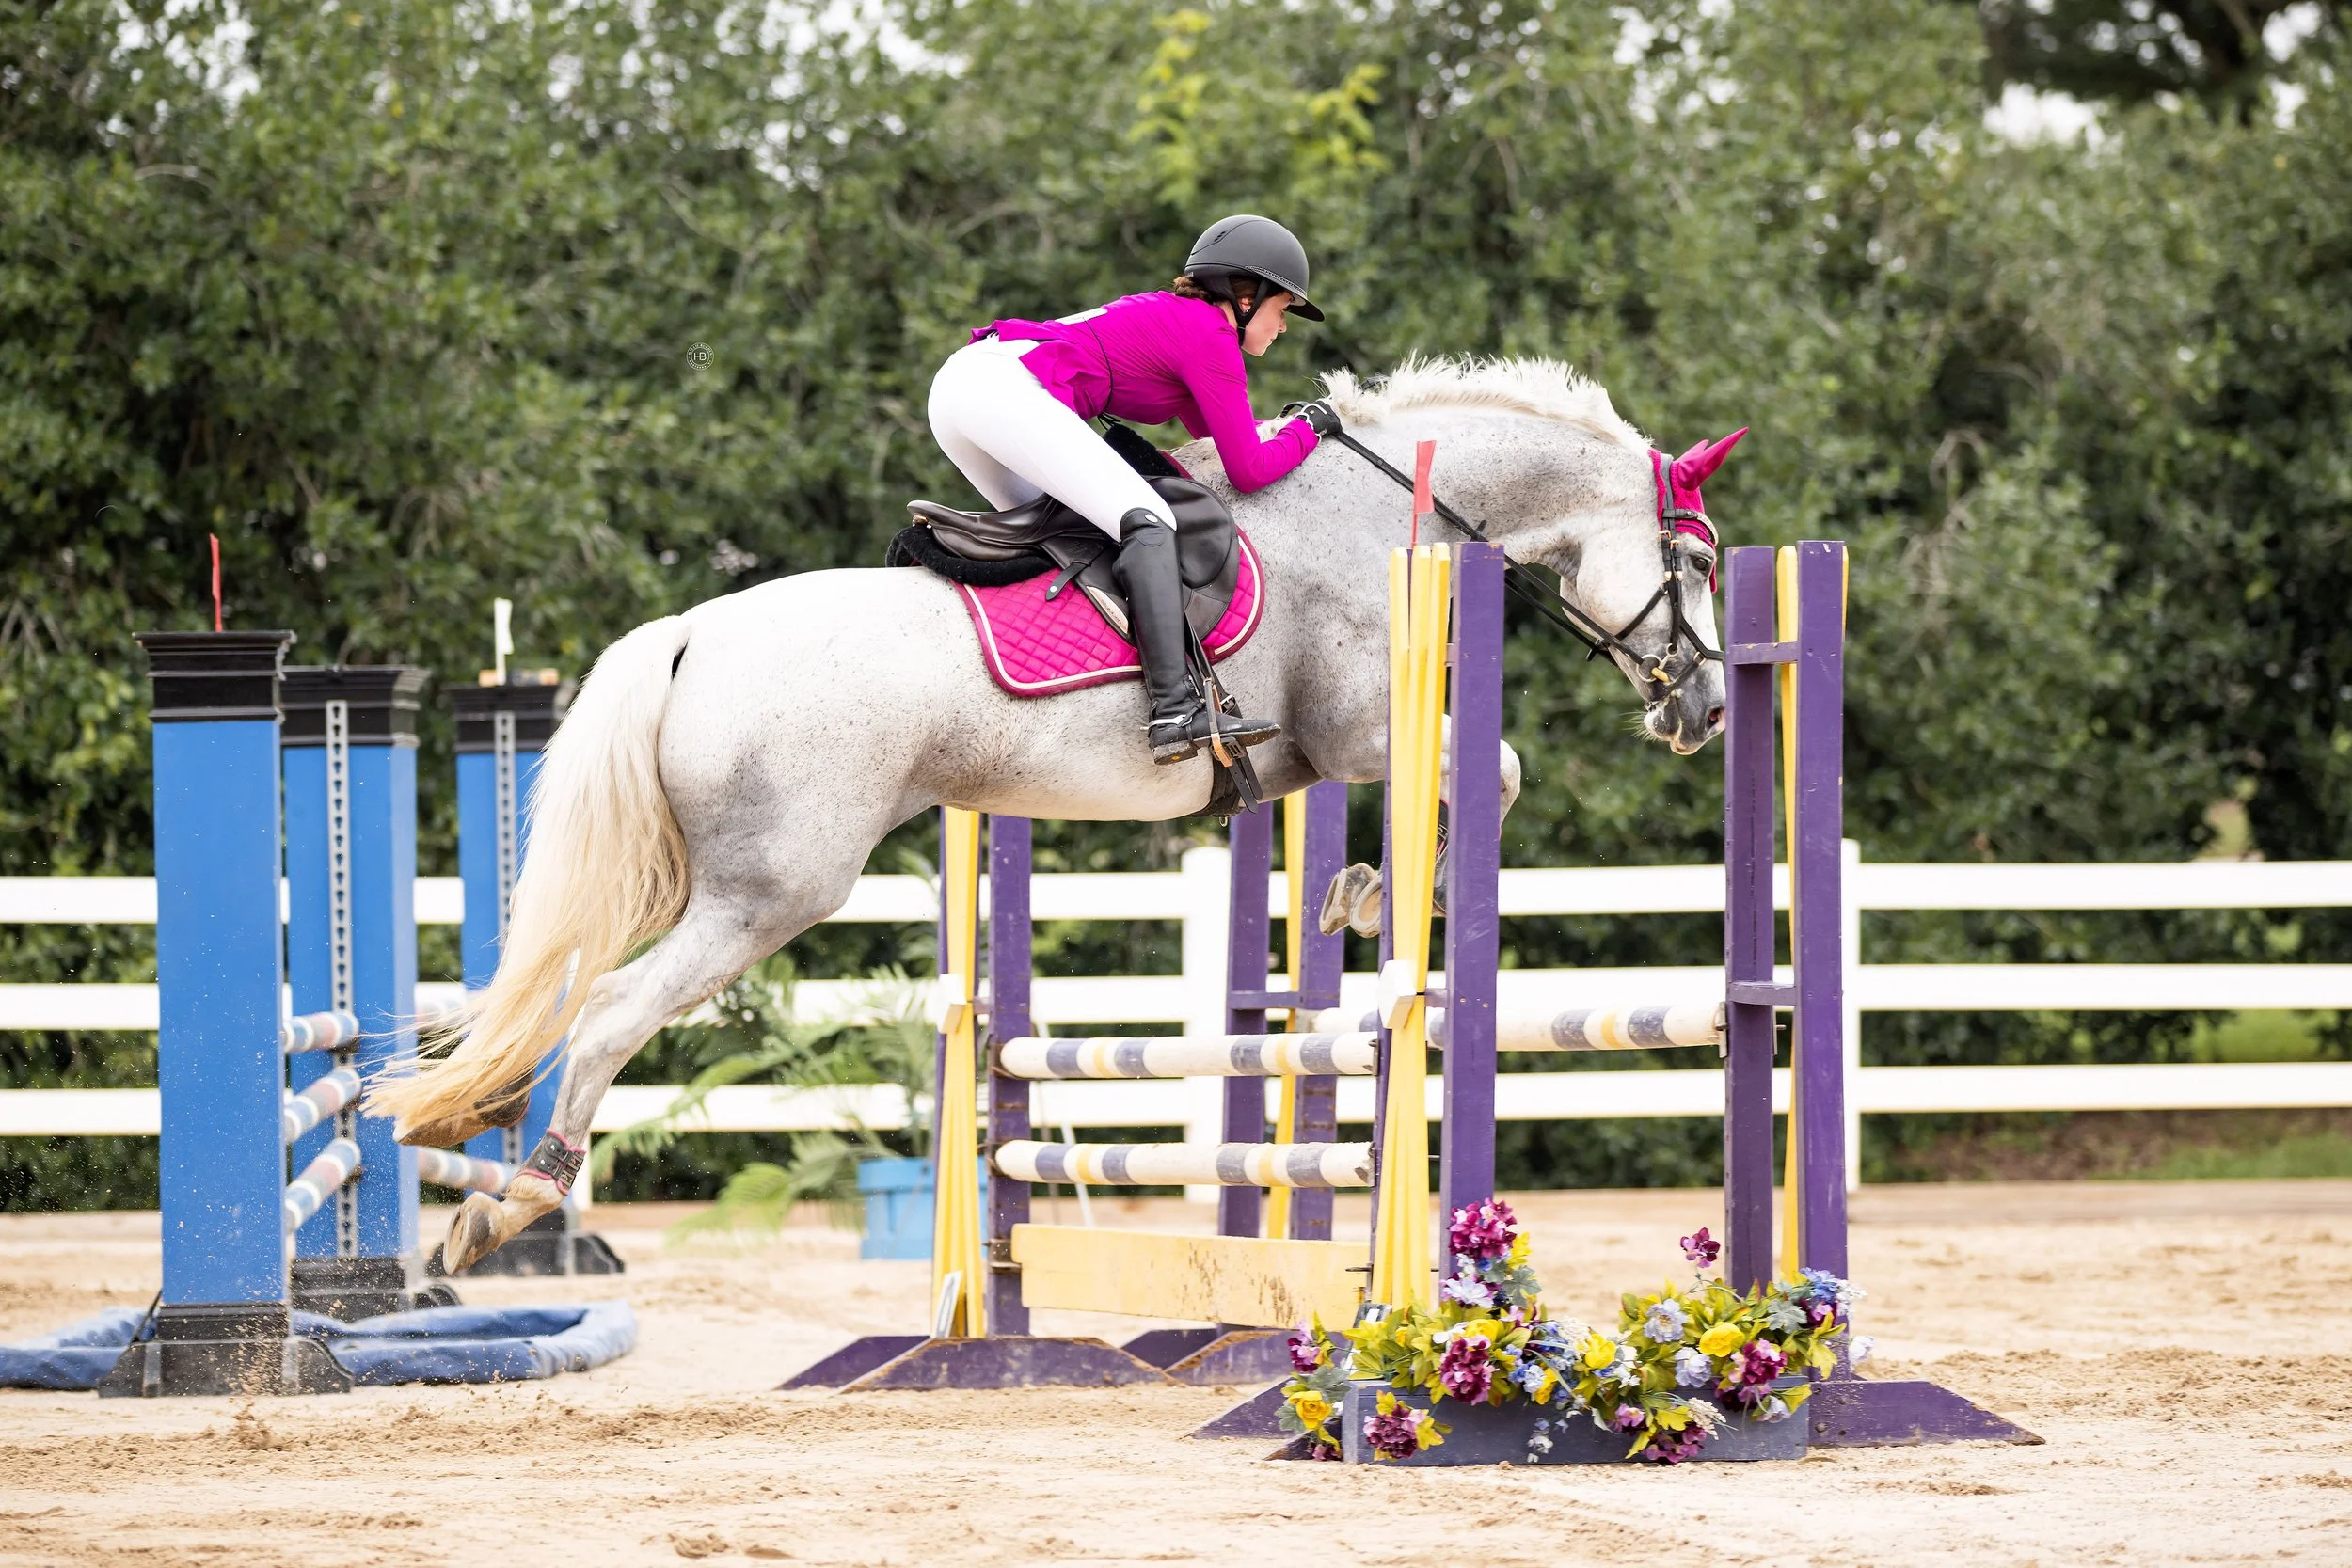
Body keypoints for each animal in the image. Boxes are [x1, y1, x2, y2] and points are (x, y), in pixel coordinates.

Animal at [367, 357, 1742, 1272]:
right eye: (1700, 561)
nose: (1711, 708)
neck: (1380, 513)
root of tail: (690, 632)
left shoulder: (1325, 758)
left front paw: (1358, 896)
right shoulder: (1362, 729)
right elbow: (1493, 770)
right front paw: (1381, 899)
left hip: (716, 881)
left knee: (561, 985)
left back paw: (481, 1118)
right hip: (770, 892)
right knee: (608, 1007)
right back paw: (508, 1201)